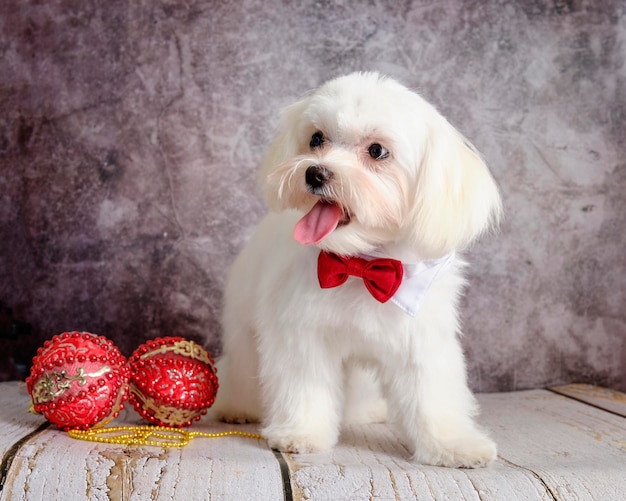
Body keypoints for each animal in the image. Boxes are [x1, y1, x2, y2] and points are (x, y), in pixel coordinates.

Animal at [214, 72, 502, 466]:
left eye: (377, 151)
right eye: (316, 138)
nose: (315, 173)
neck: (360, 264)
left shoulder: (421, 341)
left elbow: (432, 396)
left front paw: (453, 444)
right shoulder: (302, 335)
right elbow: (305, 385)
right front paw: (301, 433)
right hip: (244, 328)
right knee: (242, 366)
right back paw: (237, 406)